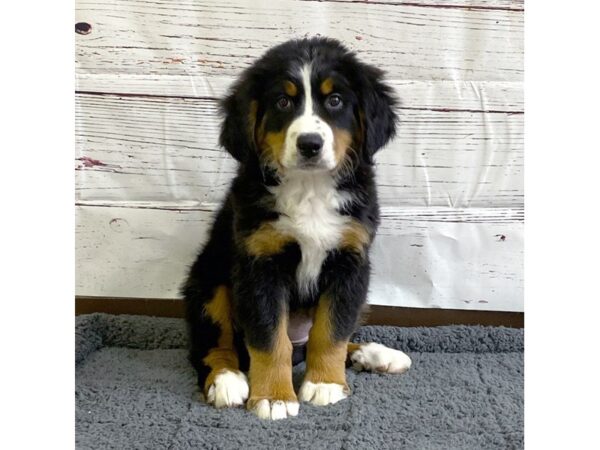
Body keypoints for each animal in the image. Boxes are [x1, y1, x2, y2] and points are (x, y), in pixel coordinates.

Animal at [180, 37, 410, 420]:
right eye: (282, 102)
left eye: (335, 100)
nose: (310, 144)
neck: (309, 188)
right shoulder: (259, 265)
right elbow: (270, 338)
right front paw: (274, 397)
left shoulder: (350, 263)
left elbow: (332, 331)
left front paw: (325, 383)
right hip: (208, 281)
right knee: (212, 345)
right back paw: (227, 380)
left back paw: (375, 353)